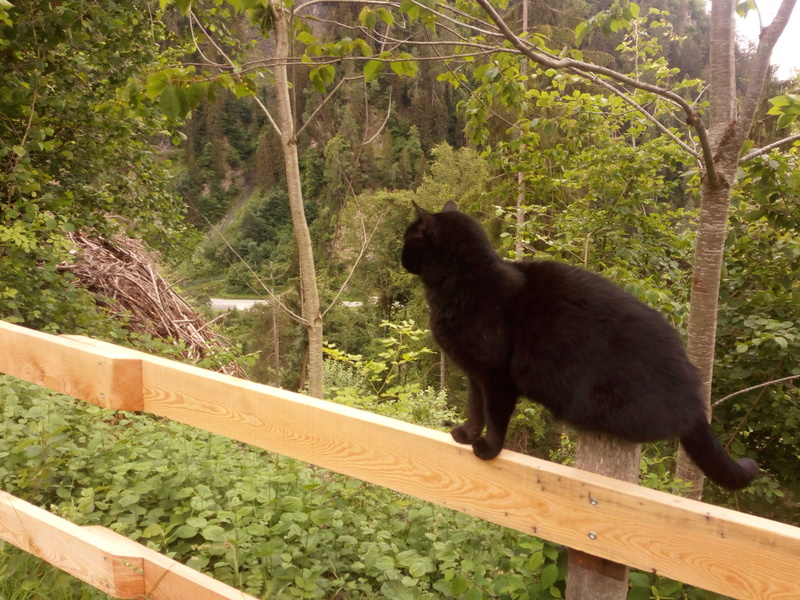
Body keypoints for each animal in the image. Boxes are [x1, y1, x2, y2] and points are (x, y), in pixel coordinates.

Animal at [404, 199, 760, 490]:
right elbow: (475, 410)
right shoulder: (475, 375)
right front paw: (466, 436)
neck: (459, 285)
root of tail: (694, 392)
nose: (399, 257)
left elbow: (494, 415)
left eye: (408, 240)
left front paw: (488, 449)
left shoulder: (496, 376)